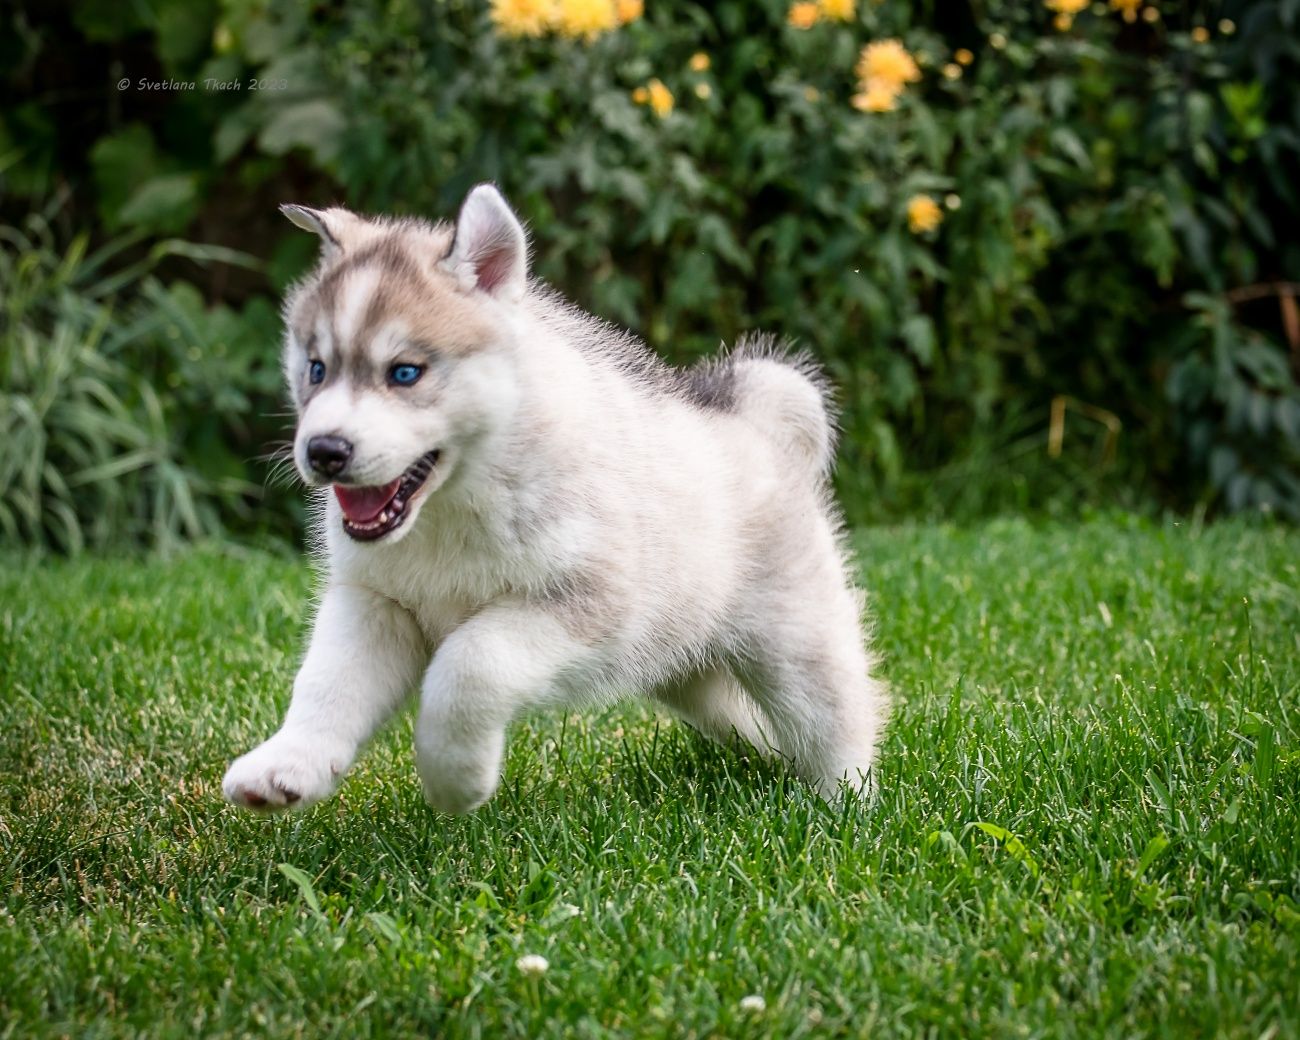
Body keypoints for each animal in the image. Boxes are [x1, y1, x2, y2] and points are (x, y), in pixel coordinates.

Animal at [226, 188, 894, 821]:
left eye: (405, 373)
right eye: (316, 368)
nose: (323, 451)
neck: (453, 504)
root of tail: (750, 420)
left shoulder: (586, 603)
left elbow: (468, 664)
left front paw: (454, 779)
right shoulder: (376, 604)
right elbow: (325, 683)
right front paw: (286, 765)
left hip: (795, 643)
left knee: (836, 721)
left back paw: (843, 811)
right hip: (688, 667)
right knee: (751, 725)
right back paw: (770, 768)